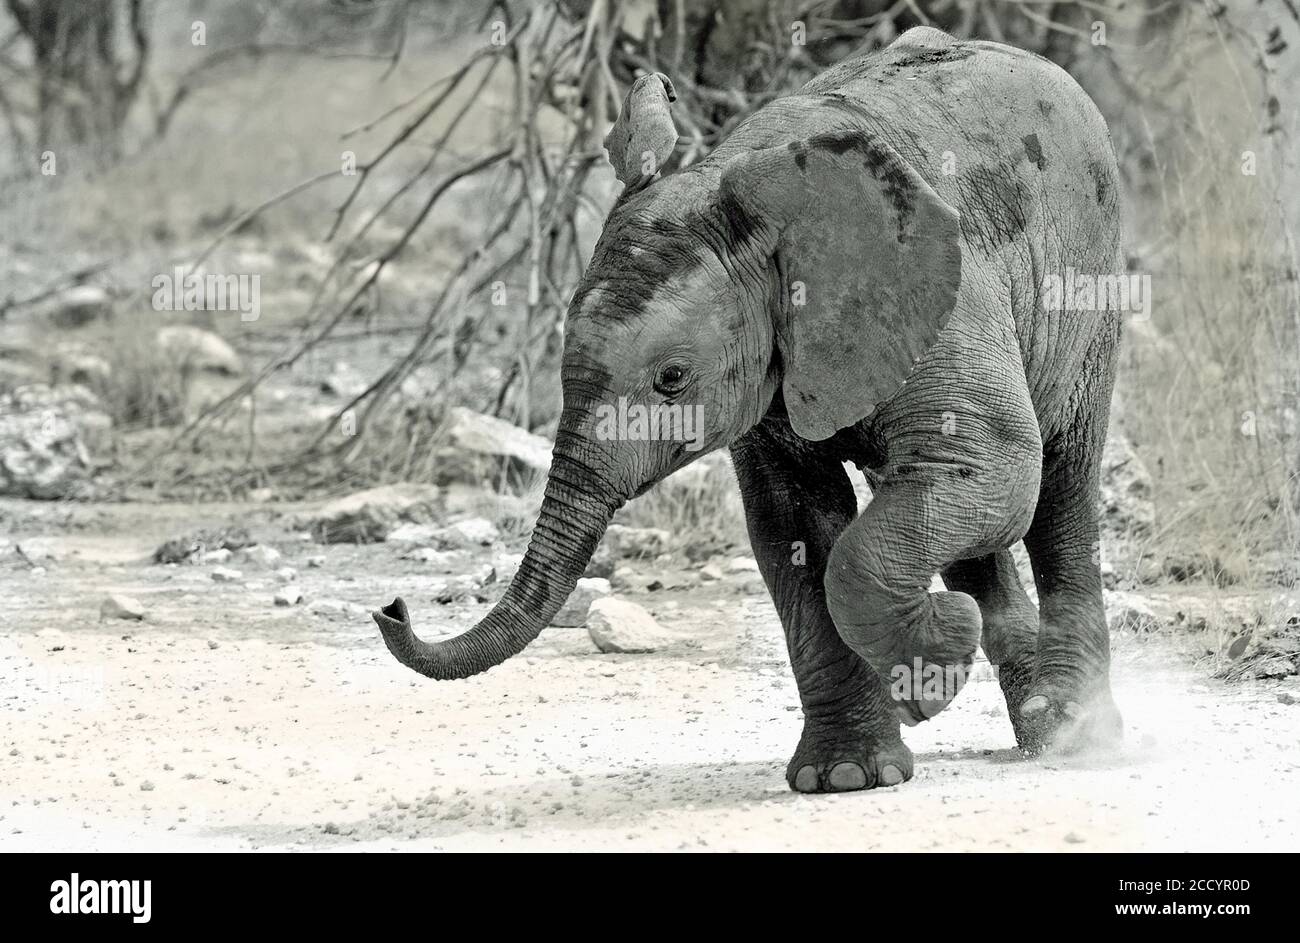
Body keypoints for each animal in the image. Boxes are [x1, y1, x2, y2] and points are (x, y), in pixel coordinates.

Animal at [371, 27, 1123, 785]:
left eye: (672, 378)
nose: (392, 607)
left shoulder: (947, 302)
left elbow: (993, 470)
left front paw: (928, 683)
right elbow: (792, 525)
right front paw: (844, 776)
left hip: (1087, 291)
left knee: (1057, 486)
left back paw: (1070, 736)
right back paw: (1026, 704)